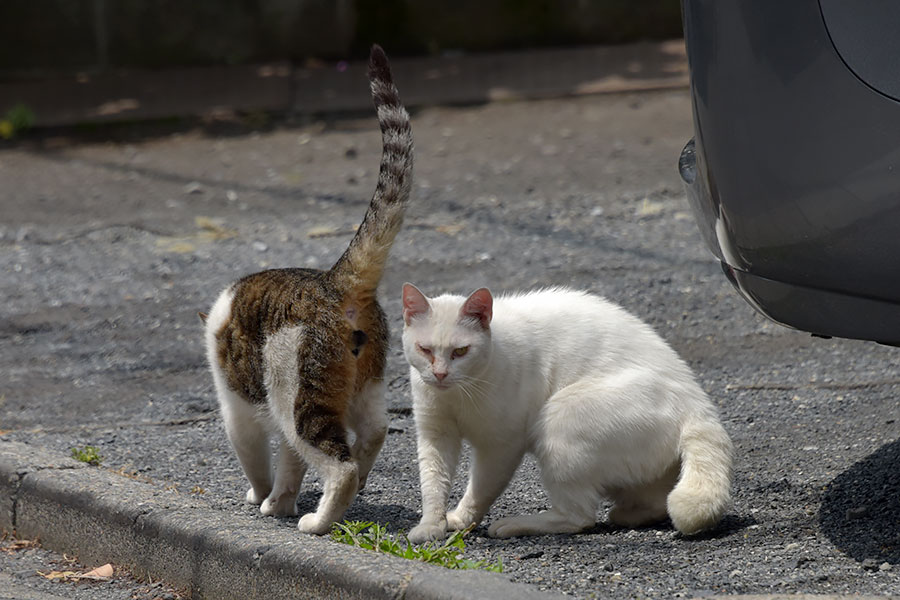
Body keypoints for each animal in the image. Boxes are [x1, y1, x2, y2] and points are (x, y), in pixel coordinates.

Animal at [202, 47, 414, 536]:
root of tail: (335, 281)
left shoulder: (237, 409)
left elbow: (258, 458)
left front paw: (263, 498)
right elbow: (290, 464)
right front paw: (280, 501)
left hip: (297, 392)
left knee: (337, 462)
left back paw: (320, 520)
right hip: (364, 381)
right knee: (374, 432)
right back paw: (359, 478)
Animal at [404, 284, 736, 540]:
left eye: (461, 351)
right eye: (425, 350)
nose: (440, 374)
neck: (456, 395)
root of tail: (698, 404)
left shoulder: (500, 447)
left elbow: (480, 489)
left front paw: (463, 519)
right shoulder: (434, 434)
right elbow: (433, 482)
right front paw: (432, 526)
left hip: (558, 419)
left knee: (579, 517)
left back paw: (515, 525)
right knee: (654, 499)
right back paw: (629, 515)